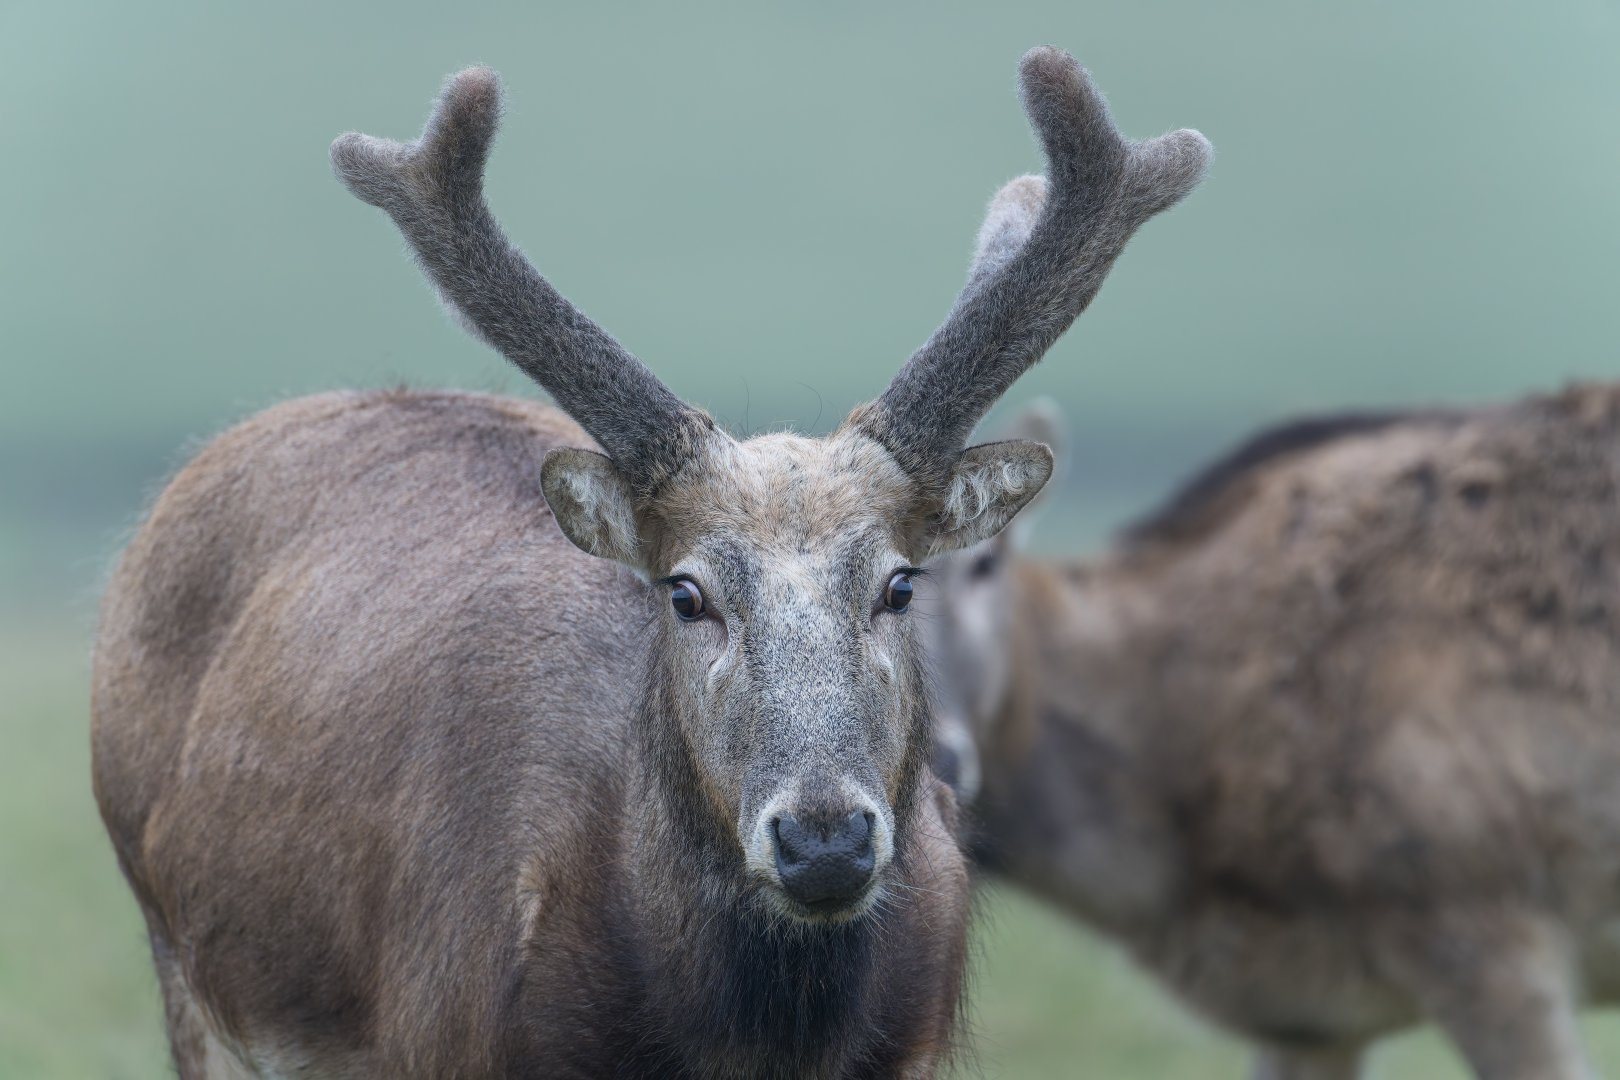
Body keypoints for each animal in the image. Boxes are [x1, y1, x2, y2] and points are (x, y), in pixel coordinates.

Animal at [88, 49, 1209, 1079]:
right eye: (686, 592)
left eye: (899, 583)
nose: (824, 840)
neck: (743, 1050)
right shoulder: (438, 1034)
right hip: (175, 948)